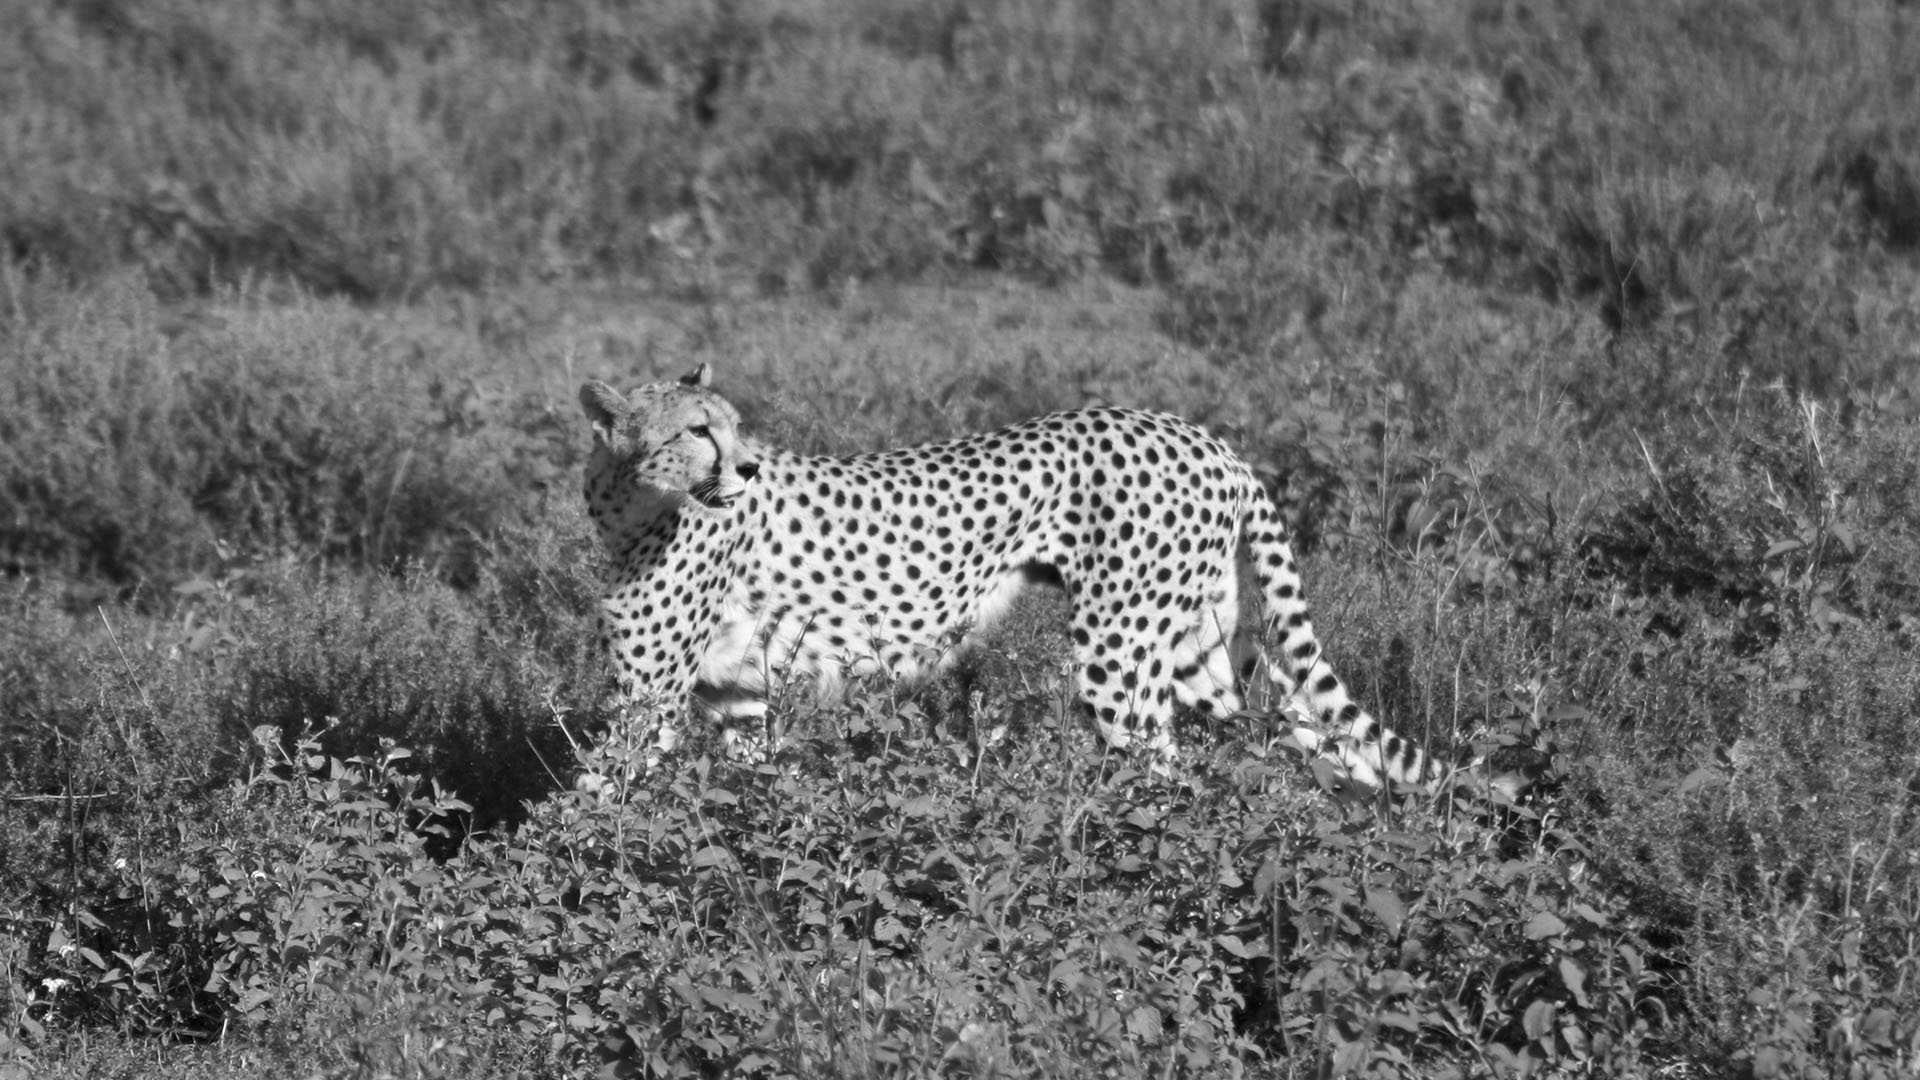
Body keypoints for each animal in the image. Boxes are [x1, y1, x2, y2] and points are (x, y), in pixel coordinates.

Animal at [576, 365, 1436, 787]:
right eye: (699, 430)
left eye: (732, 426)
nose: (749, 467)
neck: (631, 505)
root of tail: (1207, 438)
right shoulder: (739, 698)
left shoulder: (650, 701)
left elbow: (594, 801)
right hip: (1194, 647)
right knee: (1296, 729)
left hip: (1118, 654)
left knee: (1167, 765)